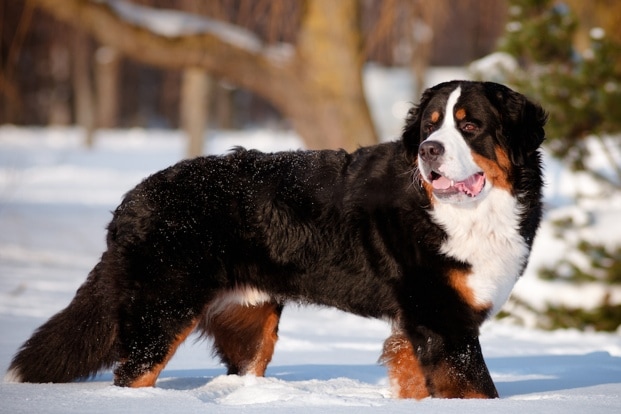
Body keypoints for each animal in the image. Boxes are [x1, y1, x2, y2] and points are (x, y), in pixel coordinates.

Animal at [7, 80, 544, 398]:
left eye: (470, 125)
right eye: (431, 127)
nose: (428, 151)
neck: (470, 215)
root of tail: (133, 197)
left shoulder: (423, 325)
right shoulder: (443, 320)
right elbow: (477, 389)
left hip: (249, 324)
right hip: (161, 312)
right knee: (132, 374)